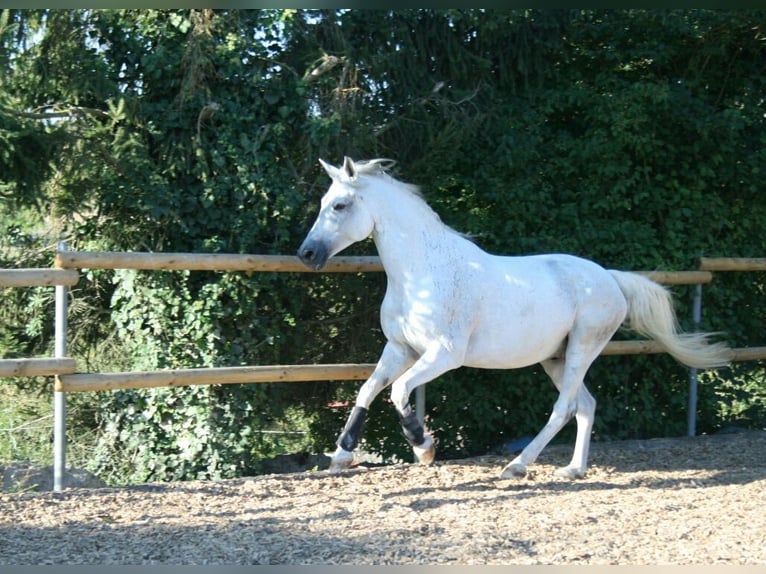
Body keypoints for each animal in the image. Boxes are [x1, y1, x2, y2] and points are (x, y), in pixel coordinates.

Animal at [296, 158, 728, 482]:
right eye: (324, 201)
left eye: (340, 206)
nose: (306, 254)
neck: (421, 273)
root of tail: (610, 278)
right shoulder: (400, 348)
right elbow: (368, 390)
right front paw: (341, 456)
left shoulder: (443, 355)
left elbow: (399, 391)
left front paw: (424, 446)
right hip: (556, 358)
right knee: (585, 405)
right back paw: (573, 469)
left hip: (582, 349)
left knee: (564, 408)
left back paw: (517, 466)